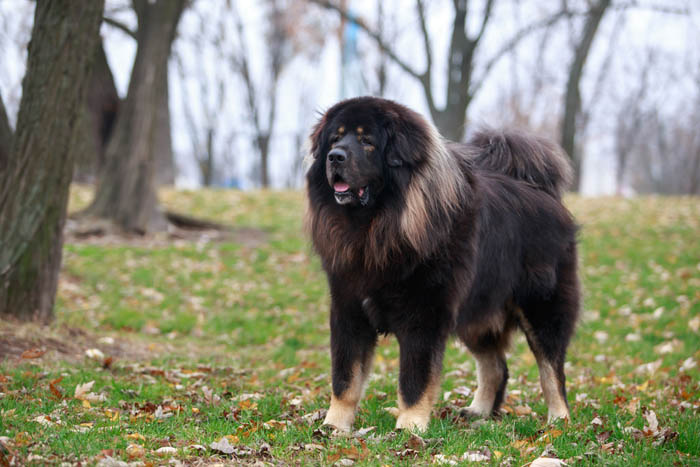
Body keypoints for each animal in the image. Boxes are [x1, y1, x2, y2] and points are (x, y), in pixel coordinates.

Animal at [306, 97, 580, 434]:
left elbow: (414, 380)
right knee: (496, 367)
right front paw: (333, 427)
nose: (335, 156)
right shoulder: (349, 311)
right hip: (476, 314)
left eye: (367, 141)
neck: (375, 228)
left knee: (552, 370)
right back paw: (478, 412)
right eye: (335, 139)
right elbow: (345, 378)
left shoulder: (423, 316)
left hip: (542, 310)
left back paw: (559, 420)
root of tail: (543, 193)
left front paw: (409, 427)